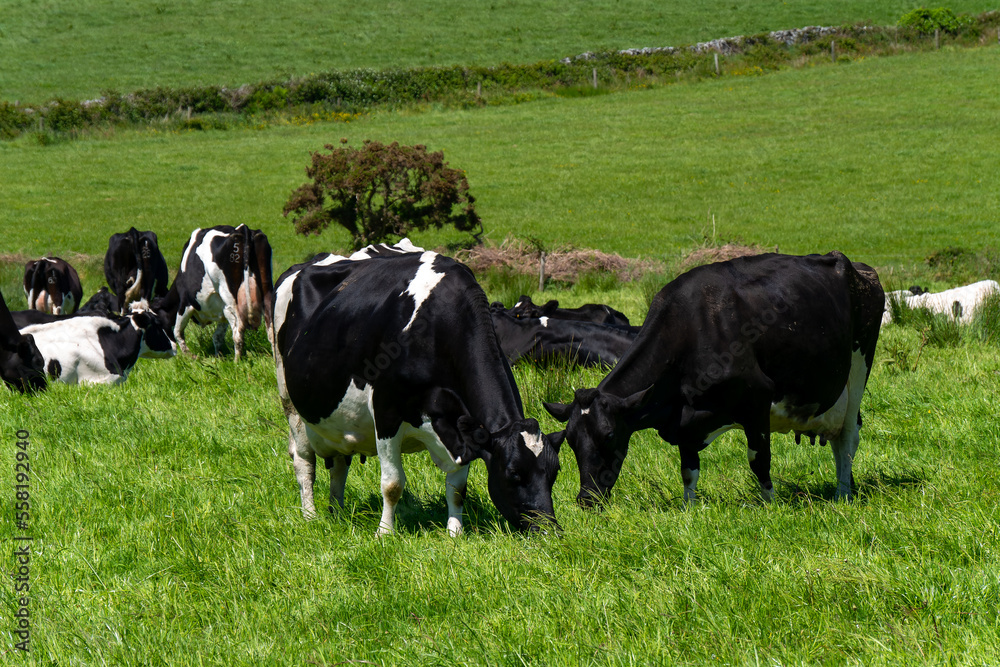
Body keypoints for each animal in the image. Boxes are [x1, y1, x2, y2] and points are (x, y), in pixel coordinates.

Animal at [156, 224, 276, 360]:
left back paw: (237, 361)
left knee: (238, 330)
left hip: (230, 297)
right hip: (266, 290)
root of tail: (243, 229)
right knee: (271, 329)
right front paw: (218, 357)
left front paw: (190, 357)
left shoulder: (185, 302)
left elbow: (178, 332)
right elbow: (217, 336)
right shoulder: (222, 312)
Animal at [276, 240, 564, 536]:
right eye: (513, 474)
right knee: (304, 461)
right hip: (289, 400)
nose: (549, 529)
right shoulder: (386, 411)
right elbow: (392, 483)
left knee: (338, 464)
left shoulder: (462, 428)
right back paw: (310, 516)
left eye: (555, 472)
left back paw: (337, 512)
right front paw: (385, 532)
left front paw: (455, 532)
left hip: (339, 423)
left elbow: (457, 488)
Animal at [548, 250, 884, 506]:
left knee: (847, 438)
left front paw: (770, 505)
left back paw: (843, 494)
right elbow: (688, 469)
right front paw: (690, 508)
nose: (586, 499)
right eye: (570, 440)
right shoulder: (683, 419)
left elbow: (759, 459)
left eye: (608, 435)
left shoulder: (758, 399)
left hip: (858, 369)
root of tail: (856, 265)